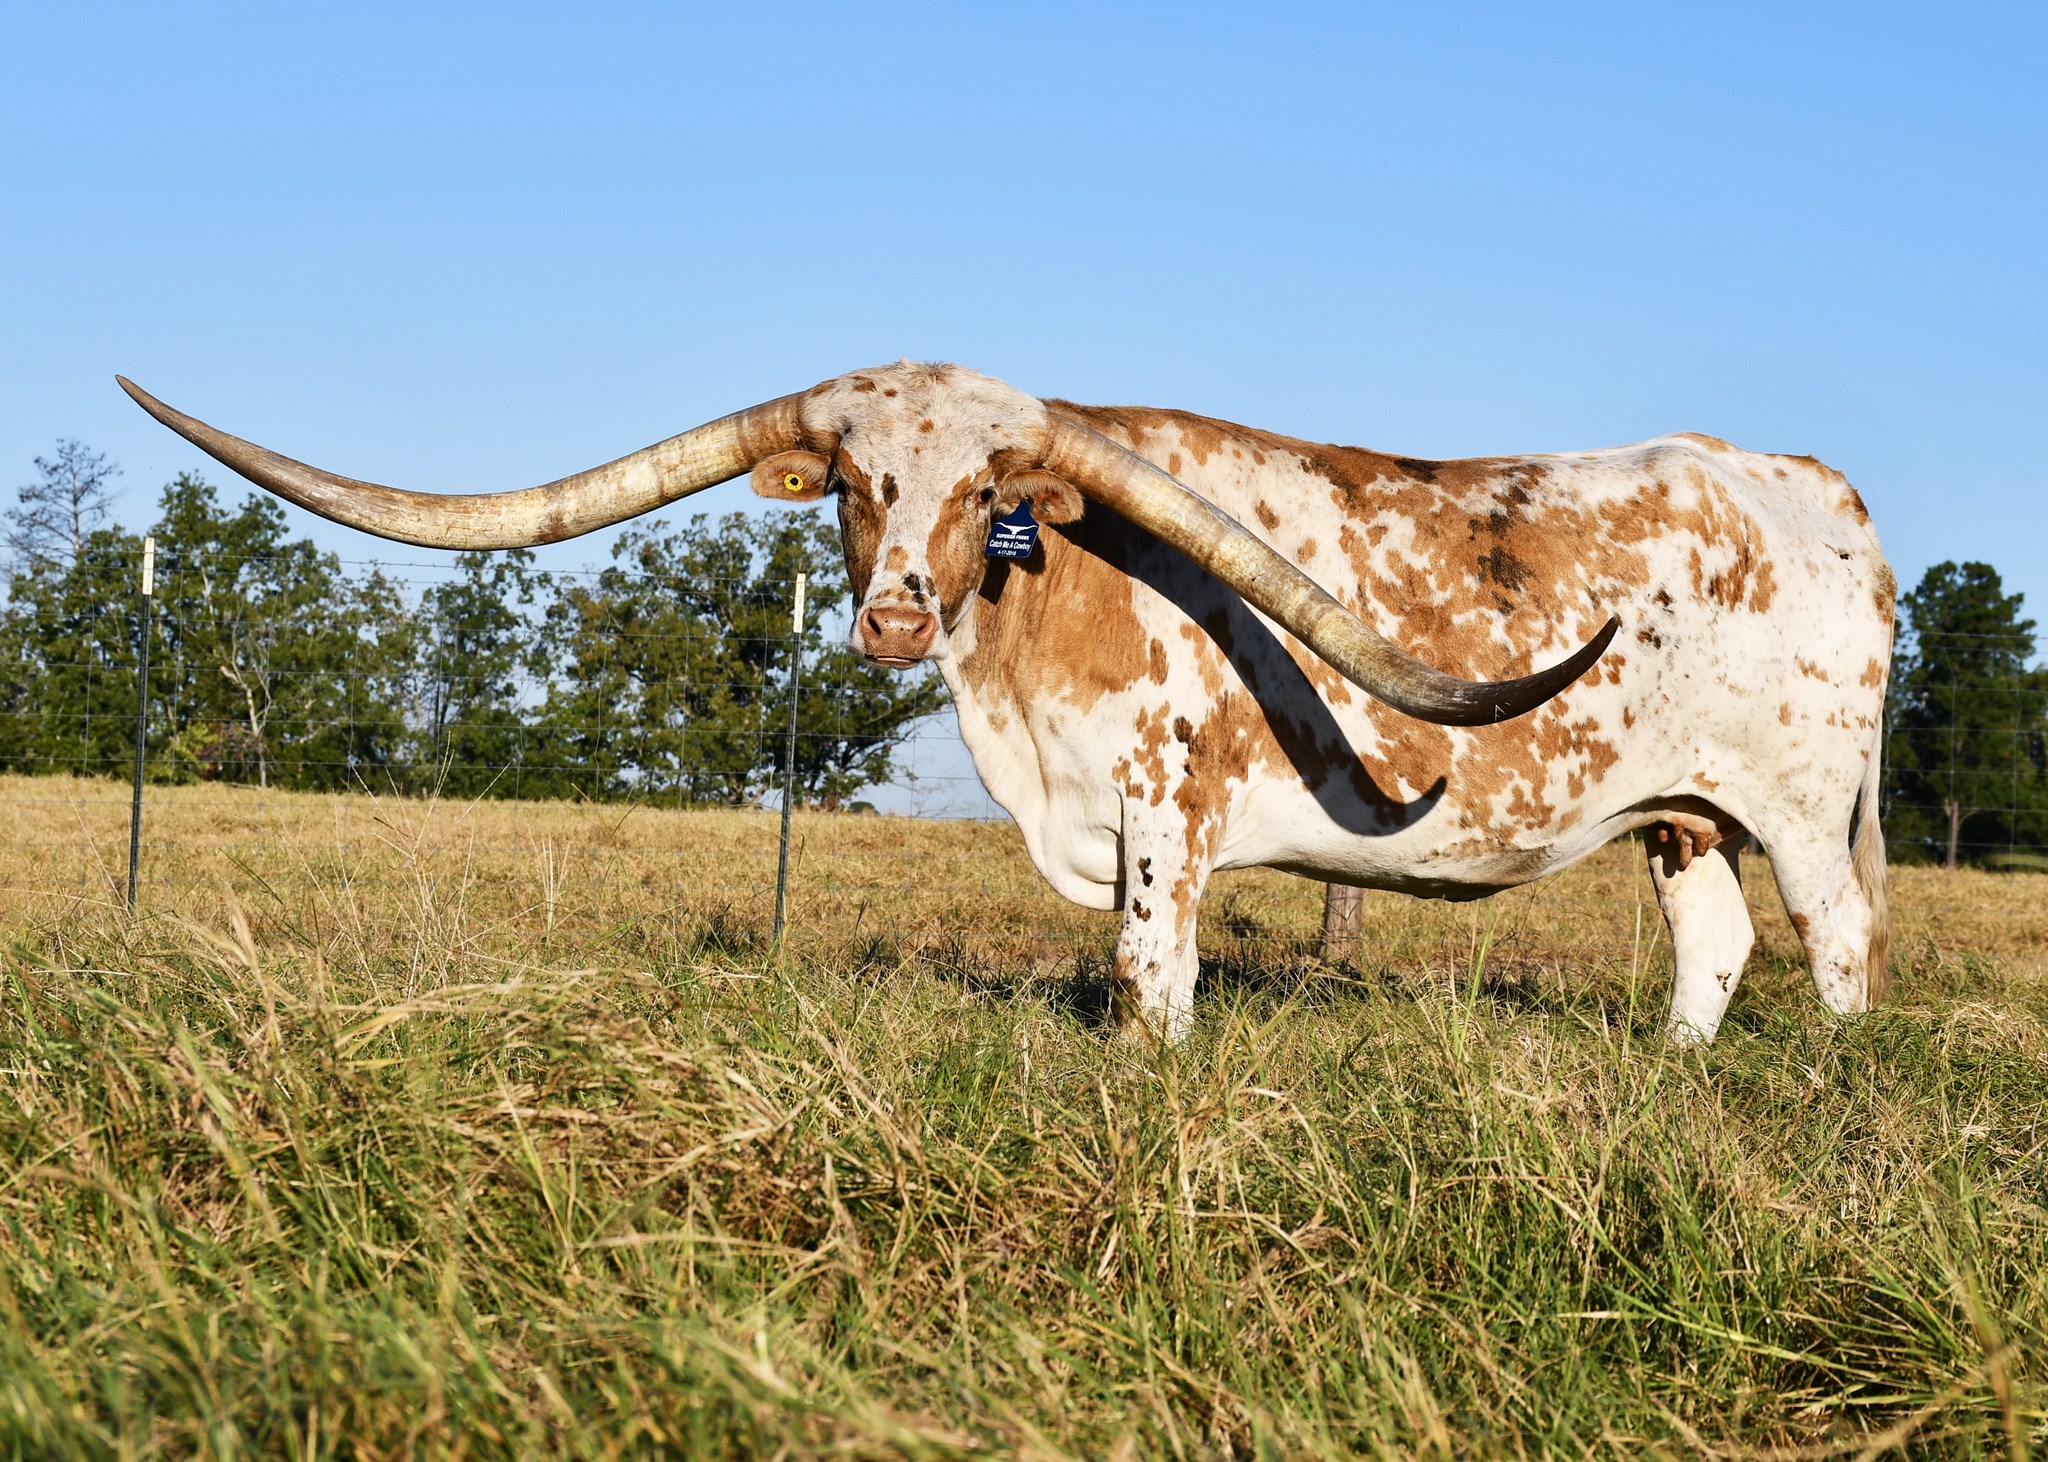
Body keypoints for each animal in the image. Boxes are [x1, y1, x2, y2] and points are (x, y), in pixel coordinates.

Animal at [119, 362, 1894, 1045]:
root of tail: (1811, 483)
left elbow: (1152, 978)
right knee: (1714, 944)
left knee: (1838, 946)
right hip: (1680, 811)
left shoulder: (1167, 821)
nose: (899, 606)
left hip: (1805, 812)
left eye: (987, 490)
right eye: (852, 480)